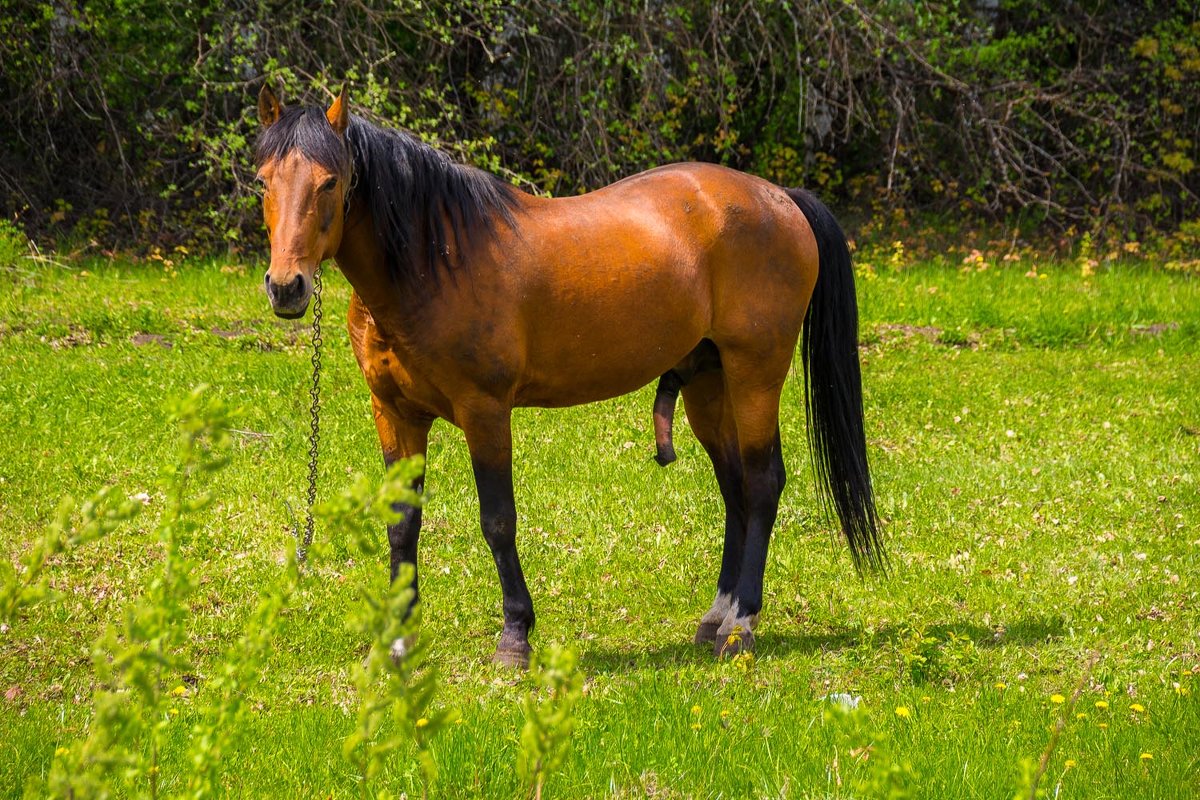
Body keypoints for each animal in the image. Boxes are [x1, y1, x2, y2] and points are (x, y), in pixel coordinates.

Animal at [253, 84, 883, 666]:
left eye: (330, 182)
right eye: (263, 181)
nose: (286, 288)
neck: (436, 262)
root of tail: (781, 198)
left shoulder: (485, 412)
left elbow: (498, 521)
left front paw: (514, 636)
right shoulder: (396, 415)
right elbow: (403, 525)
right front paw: (399, 642)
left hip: (756, 373)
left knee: (762, 482)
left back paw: (742, 624)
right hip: (709, 382)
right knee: (735, 488)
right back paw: (716, 618)